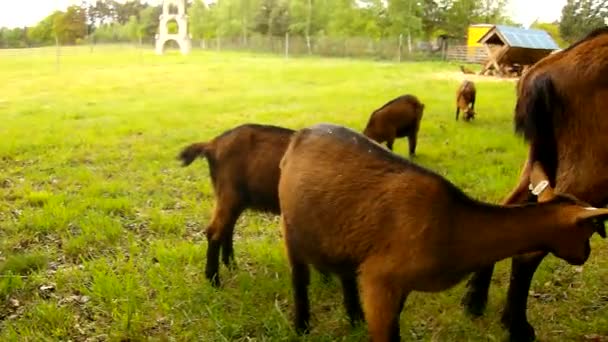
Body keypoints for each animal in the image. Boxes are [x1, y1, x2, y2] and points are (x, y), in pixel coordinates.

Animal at [177, 122, 294, 286]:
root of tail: (213, 144)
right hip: (230, 194)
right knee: (215, 231)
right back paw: (214, 280)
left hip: (235, 198)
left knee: (227, 228)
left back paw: (230, 265)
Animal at [280, 123, 608, 342]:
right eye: (590, 231)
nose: (585, 255)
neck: (456, 227)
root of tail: (300, 135)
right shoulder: (380, 280)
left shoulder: (397, 285)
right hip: (291, 228)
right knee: (299, 276)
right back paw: (301, 325)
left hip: (340, 237)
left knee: (344, 272)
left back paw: (354, 317)